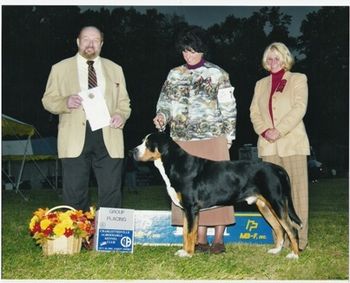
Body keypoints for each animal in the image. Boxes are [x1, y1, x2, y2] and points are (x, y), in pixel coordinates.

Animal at [133, 133, 302, 260]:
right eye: (142, 141)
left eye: (148, 143)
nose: (132, 151)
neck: (175, 163)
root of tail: (277, 168)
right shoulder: (186, 210)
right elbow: (185, 232)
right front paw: (184, 251)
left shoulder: (191, 208)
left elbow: (190, 233)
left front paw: (188, 254)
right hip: (264, 205)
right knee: (279, 228)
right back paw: (276, 250)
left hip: (277, 202)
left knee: (291, 229)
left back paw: (294, 255)